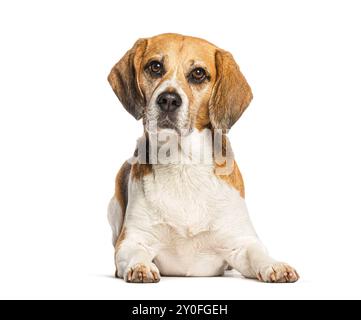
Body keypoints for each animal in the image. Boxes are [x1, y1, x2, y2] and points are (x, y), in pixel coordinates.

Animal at [107, 33, 298, 282]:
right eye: (155, 67)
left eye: (198, 73)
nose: (168, 99)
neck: (183, 164)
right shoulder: (132, 239)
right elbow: (135, 251)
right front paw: (140, 266)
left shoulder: (242, 242)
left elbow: (258, 253)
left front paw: (275, 266)